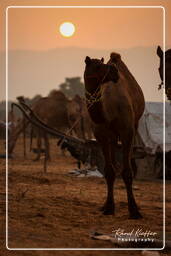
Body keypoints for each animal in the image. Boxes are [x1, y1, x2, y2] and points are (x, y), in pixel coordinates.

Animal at [84, 52, 144, 218]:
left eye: (102, 64)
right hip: (112, 137)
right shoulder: (101, 136)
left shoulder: (127, 132)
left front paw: (134, 210)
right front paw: (108, 207)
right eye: (97, 66)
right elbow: (109, 171)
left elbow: (127, 172)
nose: (114, 71)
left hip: (135, 124)